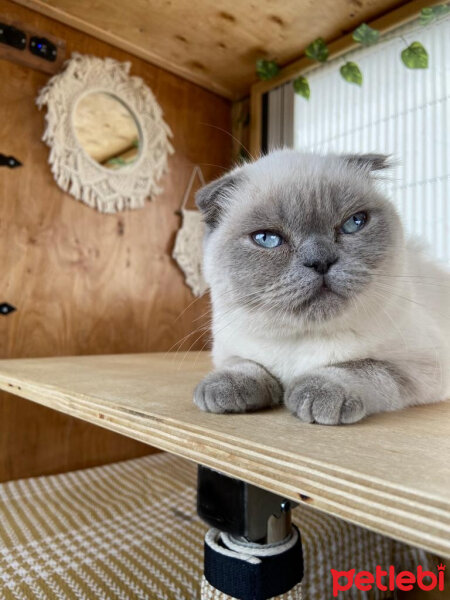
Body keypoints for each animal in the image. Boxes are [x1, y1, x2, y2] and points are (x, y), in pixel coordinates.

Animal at [193, 152, 450, 426]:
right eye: (267, 239)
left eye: (353, 223)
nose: (321, 261)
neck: (301, 339)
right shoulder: (228, 350)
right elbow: (244, 364)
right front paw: (224, 388)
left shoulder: (421, 365)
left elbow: (362, 367)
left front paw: (317, 393)